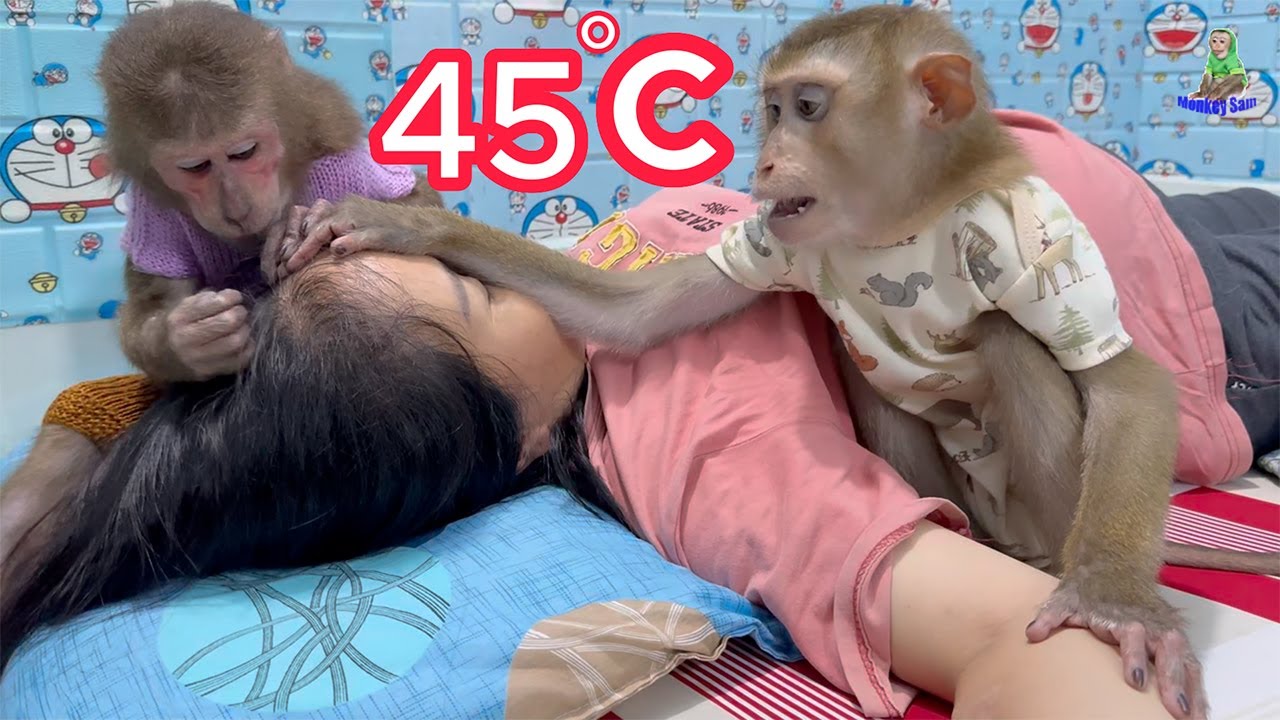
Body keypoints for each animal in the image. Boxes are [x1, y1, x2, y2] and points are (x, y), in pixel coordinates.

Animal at [0, 3, 441, 629]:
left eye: (243, 152)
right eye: (194, 167)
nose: (234, 207)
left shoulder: (342, 155)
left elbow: (414, 210)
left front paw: (303, 223)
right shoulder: (154, 211)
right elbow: (154, 302)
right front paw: (191, 339)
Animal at [268, 8, 1278, 719]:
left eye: (807, 109)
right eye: (772, 110)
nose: (762, 165)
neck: (898, 221)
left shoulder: (1031, 225)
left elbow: (1126, 384)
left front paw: (1112, 599)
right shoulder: (778, 245)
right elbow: (633, 316)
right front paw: (407, 224)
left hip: (1051, 499)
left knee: (1005, 337)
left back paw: (1067, 563)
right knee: (884, 360)